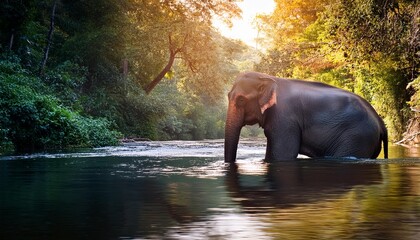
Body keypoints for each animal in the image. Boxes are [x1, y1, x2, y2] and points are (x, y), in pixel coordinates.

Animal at [225, 70, 388, 162]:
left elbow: (282, 155)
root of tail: (380, 122)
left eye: (241, 100)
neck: (268, 78)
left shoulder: (285, 118)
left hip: (357, 136)